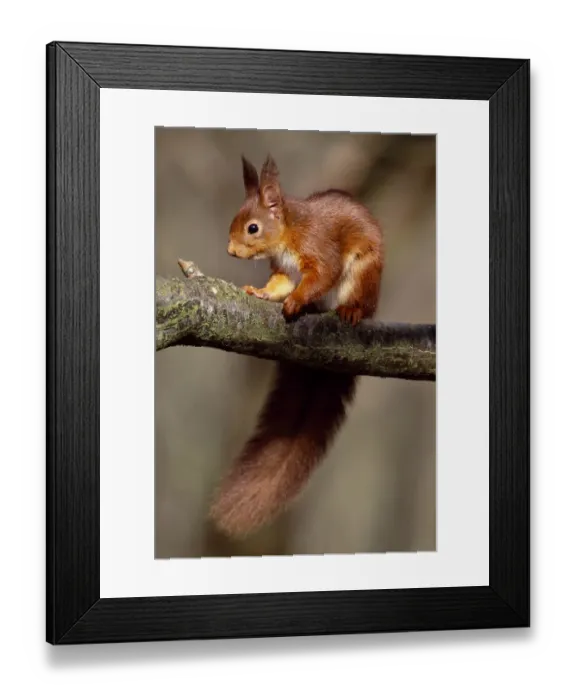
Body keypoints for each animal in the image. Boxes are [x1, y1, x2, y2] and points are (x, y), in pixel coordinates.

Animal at [208, 154, 384, 539]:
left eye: (253, 228)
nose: (230, 250)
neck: (287, 232)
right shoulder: (284, 270)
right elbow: (280, 284)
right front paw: (261, 293)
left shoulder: (318, 248)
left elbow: (321, 275)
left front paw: (296, 302)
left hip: (364, 275)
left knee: (354, 298)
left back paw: (349, 310)